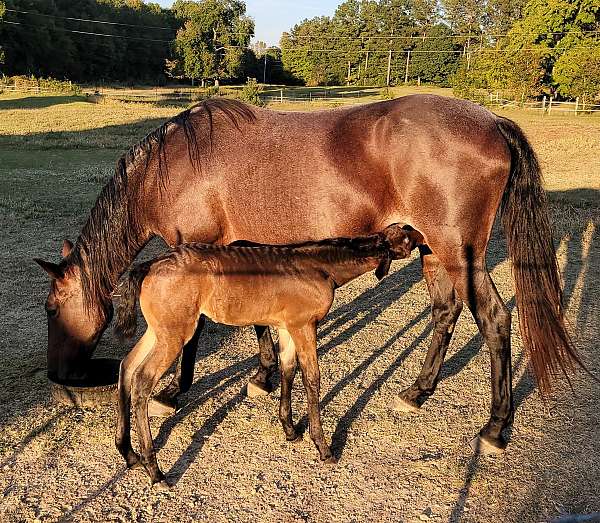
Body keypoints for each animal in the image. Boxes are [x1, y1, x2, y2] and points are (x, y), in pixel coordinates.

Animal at [35, 95, 580, 454]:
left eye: (52, 308)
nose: (59, 375)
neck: (173, 166)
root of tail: (492, 120)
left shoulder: (197, 248)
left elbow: (198, 332)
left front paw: (173, 393)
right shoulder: (238, 252)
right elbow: (258, 322)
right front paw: (262, 377)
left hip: (458, 253)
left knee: (493, 319)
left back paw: (494, 429)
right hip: (431, 250)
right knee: (445, 311)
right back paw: (416, 393)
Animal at [113, 224, 422, 488]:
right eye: (407, 239)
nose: (423, 238)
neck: (322, 265)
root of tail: (150, 264)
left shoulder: (287, 327)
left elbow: (288, 368)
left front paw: (290, 429)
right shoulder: (304, 325)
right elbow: (312, 377)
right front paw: (323, 446)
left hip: (158, 330)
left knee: (127, 366)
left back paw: (129, 453)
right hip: (174, 333)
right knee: (142, 380)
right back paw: (155, 470)